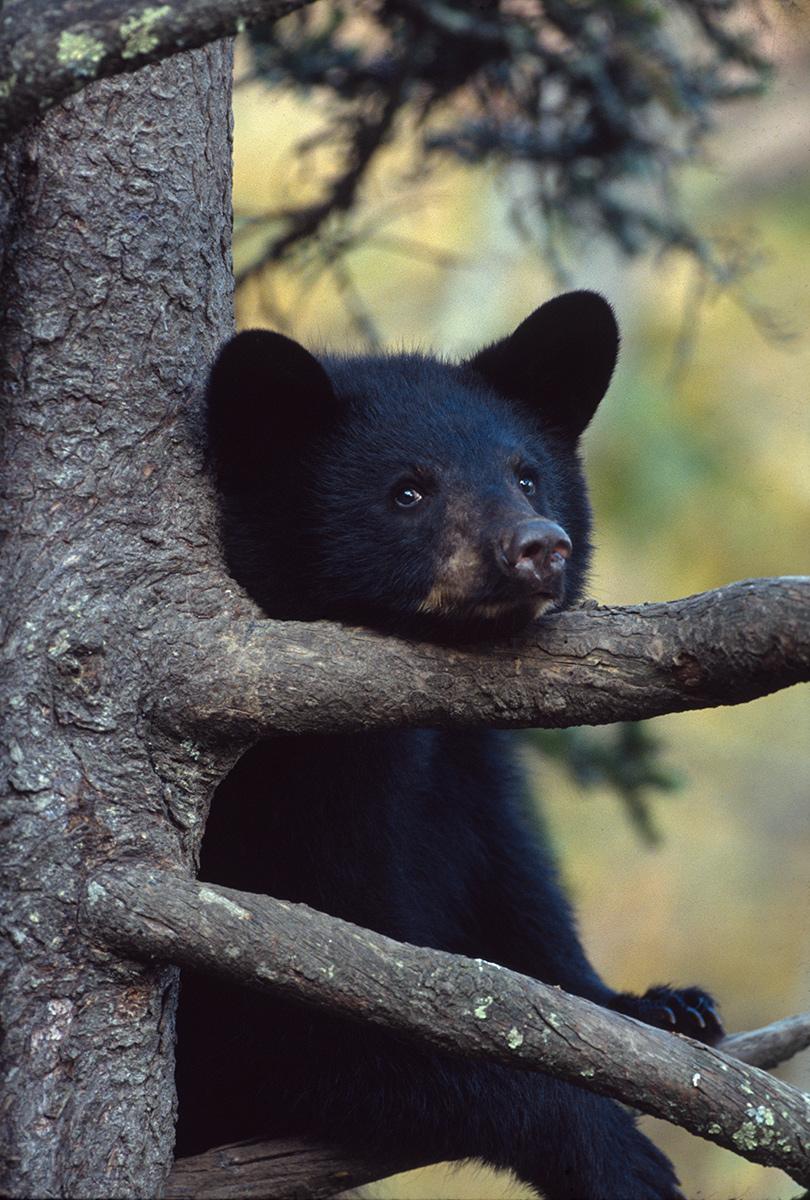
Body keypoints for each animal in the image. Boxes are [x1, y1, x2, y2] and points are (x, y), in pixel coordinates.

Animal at [174, 291, 722, 1199]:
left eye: (527, 473)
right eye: (407, 491)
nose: (539, 546)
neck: (398, 722)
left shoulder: (465, 767)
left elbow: (508, 879)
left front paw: (654, 1004)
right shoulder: (262, 823)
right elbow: (300, 1019)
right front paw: (617, 1155)